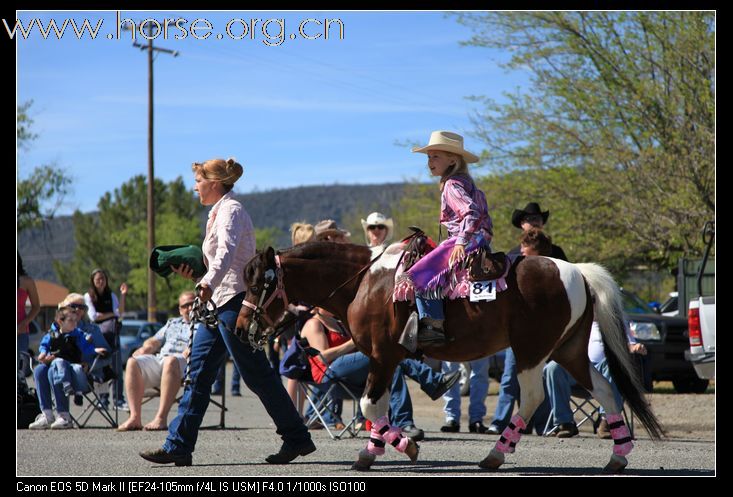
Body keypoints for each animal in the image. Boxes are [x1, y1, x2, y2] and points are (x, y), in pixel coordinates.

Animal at [236, 241, 664, 472]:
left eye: (258, 285)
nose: (240, 329)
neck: (364, 282)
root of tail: (575, 271)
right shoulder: (380, 358)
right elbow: (376, 407)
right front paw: (378, 449)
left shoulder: (383, 355)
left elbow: (371, 405)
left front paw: (396, 447)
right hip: (569, 348)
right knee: (605, 390)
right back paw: (617, 457)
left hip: (532, 351)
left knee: (533, 397)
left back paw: (495, 454)